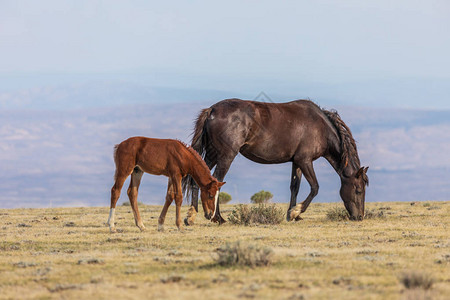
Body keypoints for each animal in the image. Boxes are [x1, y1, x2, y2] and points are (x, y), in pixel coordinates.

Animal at [183, 99, 370, 224]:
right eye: (358, 190)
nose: (359, 217)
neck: (320, 127)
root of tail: (212, 110)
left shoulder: (297, 162)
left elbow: (295, 187)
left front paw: (292, 214)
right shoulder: (305, 160)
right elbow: (315, 187)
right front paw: (296, 212)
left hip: (213, 154)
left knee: (196, 179)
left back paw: (192, 215)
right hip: (225, 156)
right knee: (216, 180)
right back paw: (217, 217)